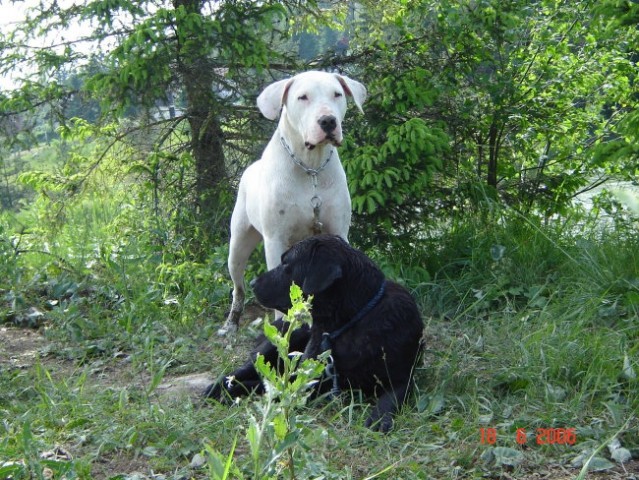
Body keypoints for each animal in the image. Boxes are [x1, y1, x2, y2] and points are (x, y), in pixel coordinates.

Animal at [206, 234, 424, 434]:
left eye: (286, 264)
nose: (251, 283)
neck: (351, 321)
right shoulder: (305, 380)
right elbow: (267, 385)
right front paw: (233, 391)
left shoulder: (402, 378)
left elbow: (391, 397)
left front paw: (380, 417)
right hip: (283, 340)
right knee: (246, 368)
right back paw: (218, 387)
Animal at [221, 71, 368, 334]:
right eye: (303, 97)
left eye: (337, 94)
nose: (328, 121)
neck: (311, 168)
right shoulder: (275, 240)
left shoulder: (337, 231)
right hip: (237, 246)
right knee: (238, 287)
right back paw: (231, 323)